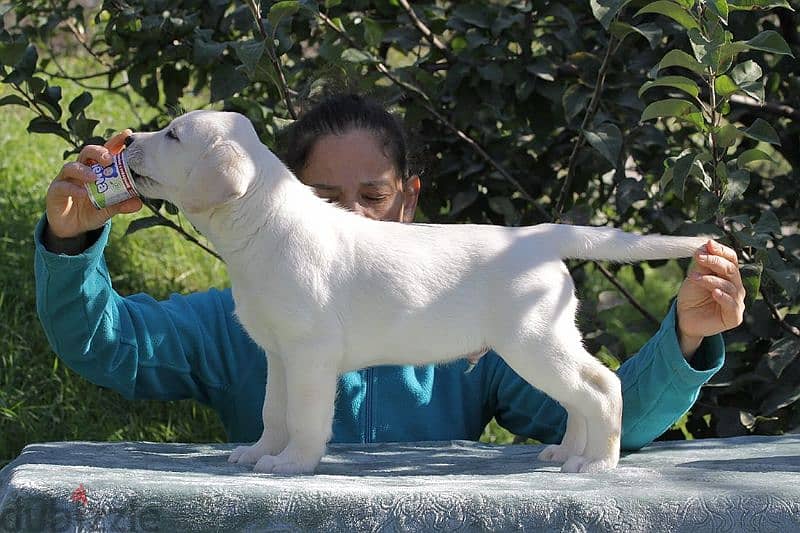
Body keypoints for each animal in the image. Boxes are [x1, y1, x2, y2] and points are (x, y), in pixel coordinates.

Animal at [123, 111, 708, 474]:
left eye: (173, 136)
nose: (126, 141)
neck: (265, 222)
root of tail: (539, 236)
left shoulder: (310, 353)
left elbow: (304, 417)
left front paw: (292, 464)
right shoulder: (277, 353)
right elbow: (273, 411)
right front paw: (258, 452)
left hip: (533, 341)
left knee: (601, 387)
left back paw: (597, 463)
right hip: (546, 341)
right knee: (580, 394)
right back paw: (566, 453)